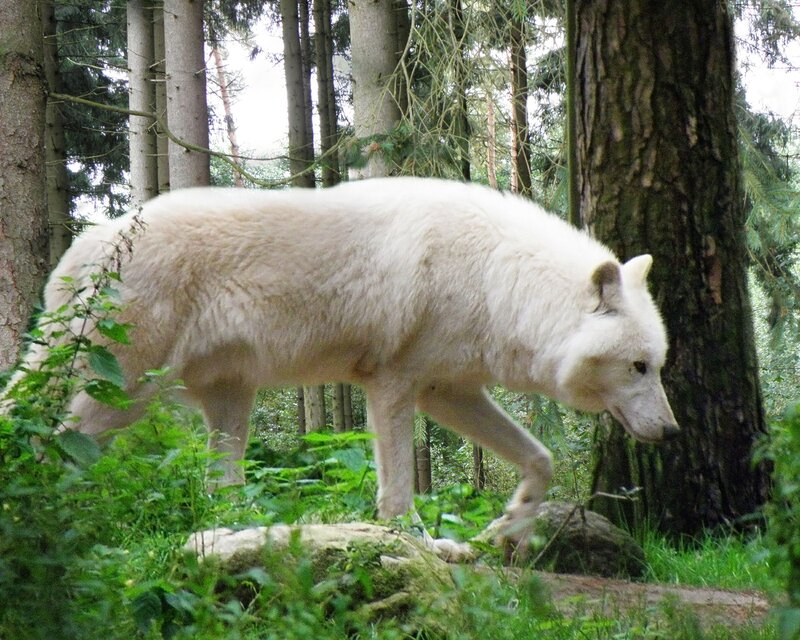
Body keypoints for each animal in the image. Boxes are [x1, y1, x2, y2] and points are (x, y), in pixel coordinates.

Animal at [3, 178, 678, 549]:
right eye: (639, 367)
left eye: (658, 365)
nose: (673, 432)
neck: (495, 278)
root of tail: (85, 245)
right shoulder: (395, 386)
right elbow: (399, 493)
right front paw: (423, 545)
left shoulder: (448, 392)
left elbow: (541, 460)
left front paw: (505, 527)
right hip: (121, 394)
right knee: (48, 444)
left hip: (228, 402)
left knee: (220, 488)